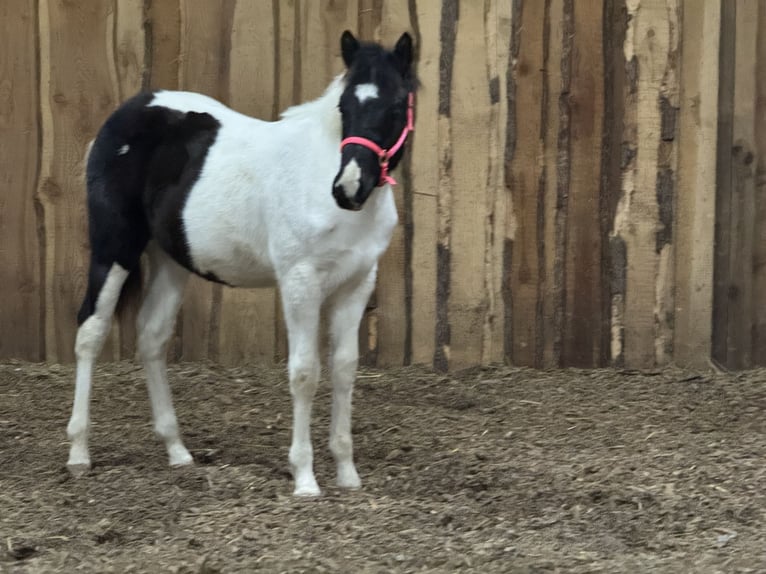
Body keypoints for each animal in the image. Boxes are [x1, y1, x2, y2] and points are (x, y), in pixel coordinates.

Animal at [66, 30, 417, 497]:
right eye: (344, 107)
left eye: (396, 106)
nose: (349, 188)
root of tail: (125, 114)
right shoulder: (300, 281)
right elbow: (305, 373)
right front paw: (305, 479)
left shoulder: (356, 284)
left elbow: (344, 369)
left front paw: (347, 474)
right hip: (115, 247)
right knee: (91, 330)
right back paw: (79, 453)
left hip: (171, 258)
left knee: (152, 336)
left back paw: (177, 451)